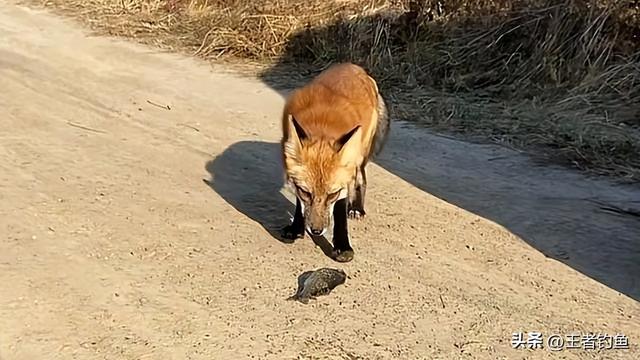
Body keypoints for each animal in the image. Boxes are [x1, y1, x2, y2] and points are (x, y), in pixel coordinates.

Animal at [280, 63, 390, 262]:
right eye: (305, 192)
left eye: (332, 195)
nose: (316, 231)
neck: (323, 125)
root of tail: (355, 67)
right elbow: (300, 205)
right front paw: (296, 228)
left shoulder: (343, 184)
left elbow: (339, 214)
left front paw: (342, 246)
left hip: (359, 157)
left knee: (361, 180)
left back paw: (357, 208)